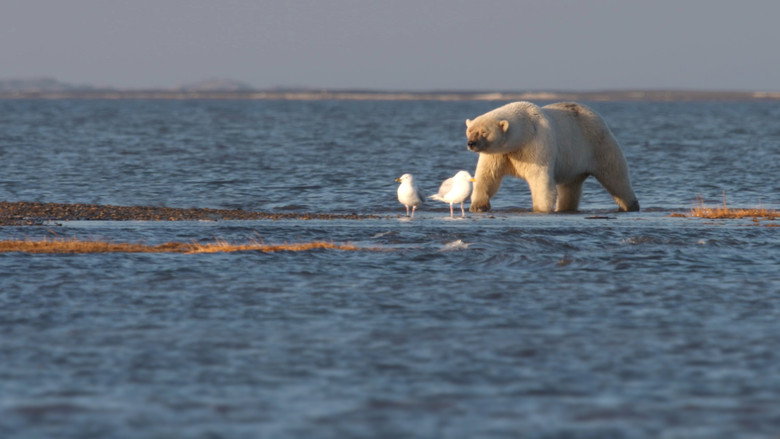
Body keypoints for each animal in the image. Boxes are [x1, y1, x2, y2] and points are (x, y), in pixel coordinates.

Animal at [465, 101, 639, 213]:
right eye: (470, 130)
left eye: (483, 132)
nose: (471, 143)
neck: (525, 131)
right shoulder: (499, 154)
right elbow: (487, 176)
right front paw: (478, 206)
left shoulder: (535, 145)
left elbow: (539, 178)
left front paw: (541, 208)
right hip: (573, 161)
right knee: (570, 187)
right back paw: (565, 208)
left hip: (597, 144)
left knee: (615, 175)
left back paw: (630, 205)